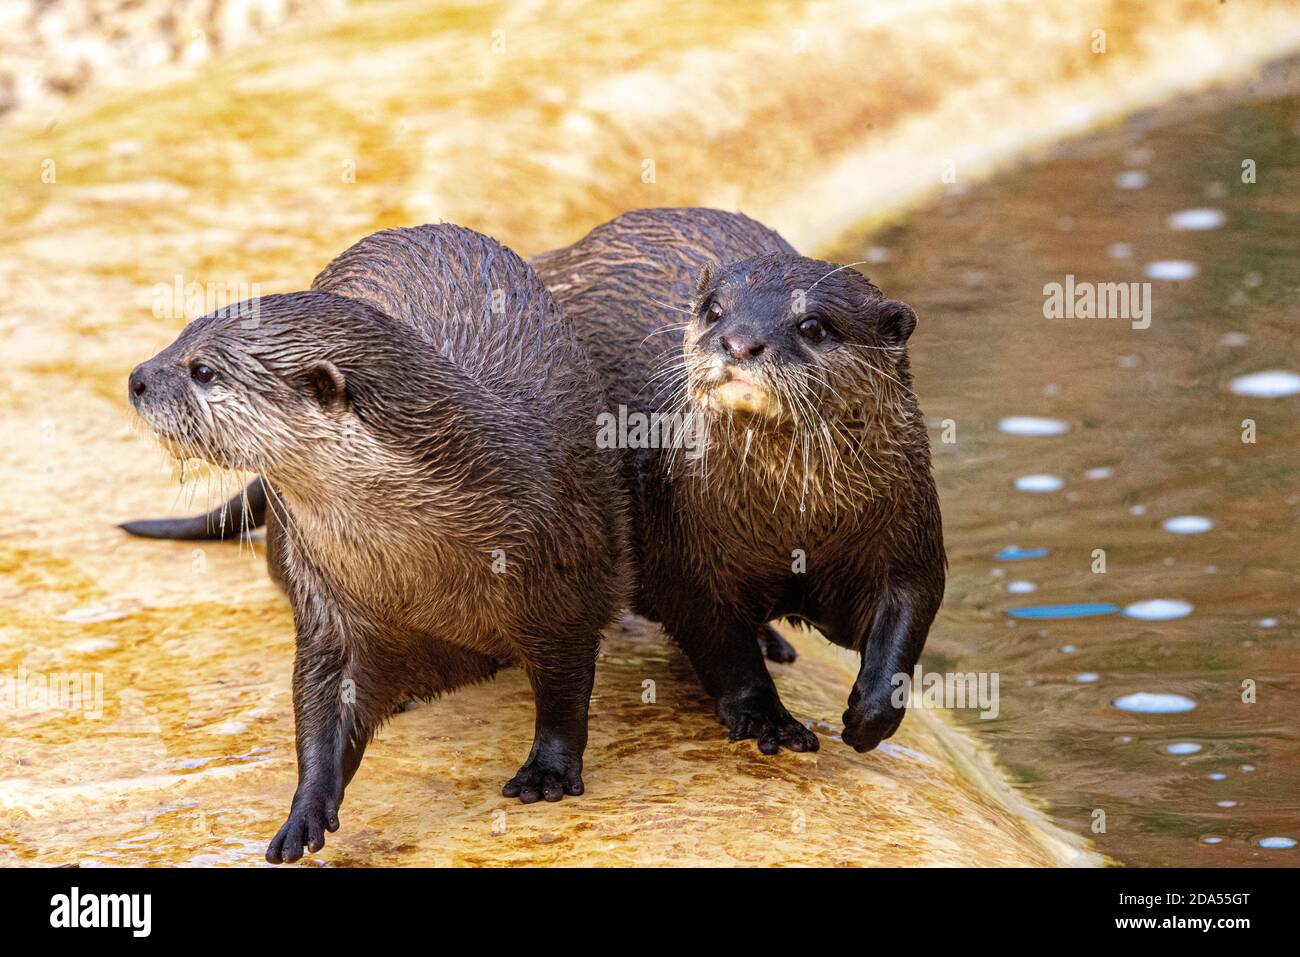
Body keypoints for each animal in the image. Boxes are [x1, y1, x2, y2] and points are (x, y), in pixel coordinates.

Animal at [125, 225, 627, 863]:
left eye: (204, 371)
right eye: (180, 335)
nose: (137, 377)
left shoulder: (562, 575)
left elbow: (565, 686)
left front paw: (548, 771)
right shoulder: (329, 604)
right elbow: (320, 706)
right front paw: (304, 810)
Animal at [531, 208, 945, 755]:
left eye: (812, 325)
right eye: (714, 311)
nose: (739, 342)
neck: (796, 524)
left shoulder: (908, 527)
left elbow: (908, 614)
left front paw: (869, 717)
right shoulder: (684, 551)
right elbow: (723, 649)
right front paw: (767, 718)